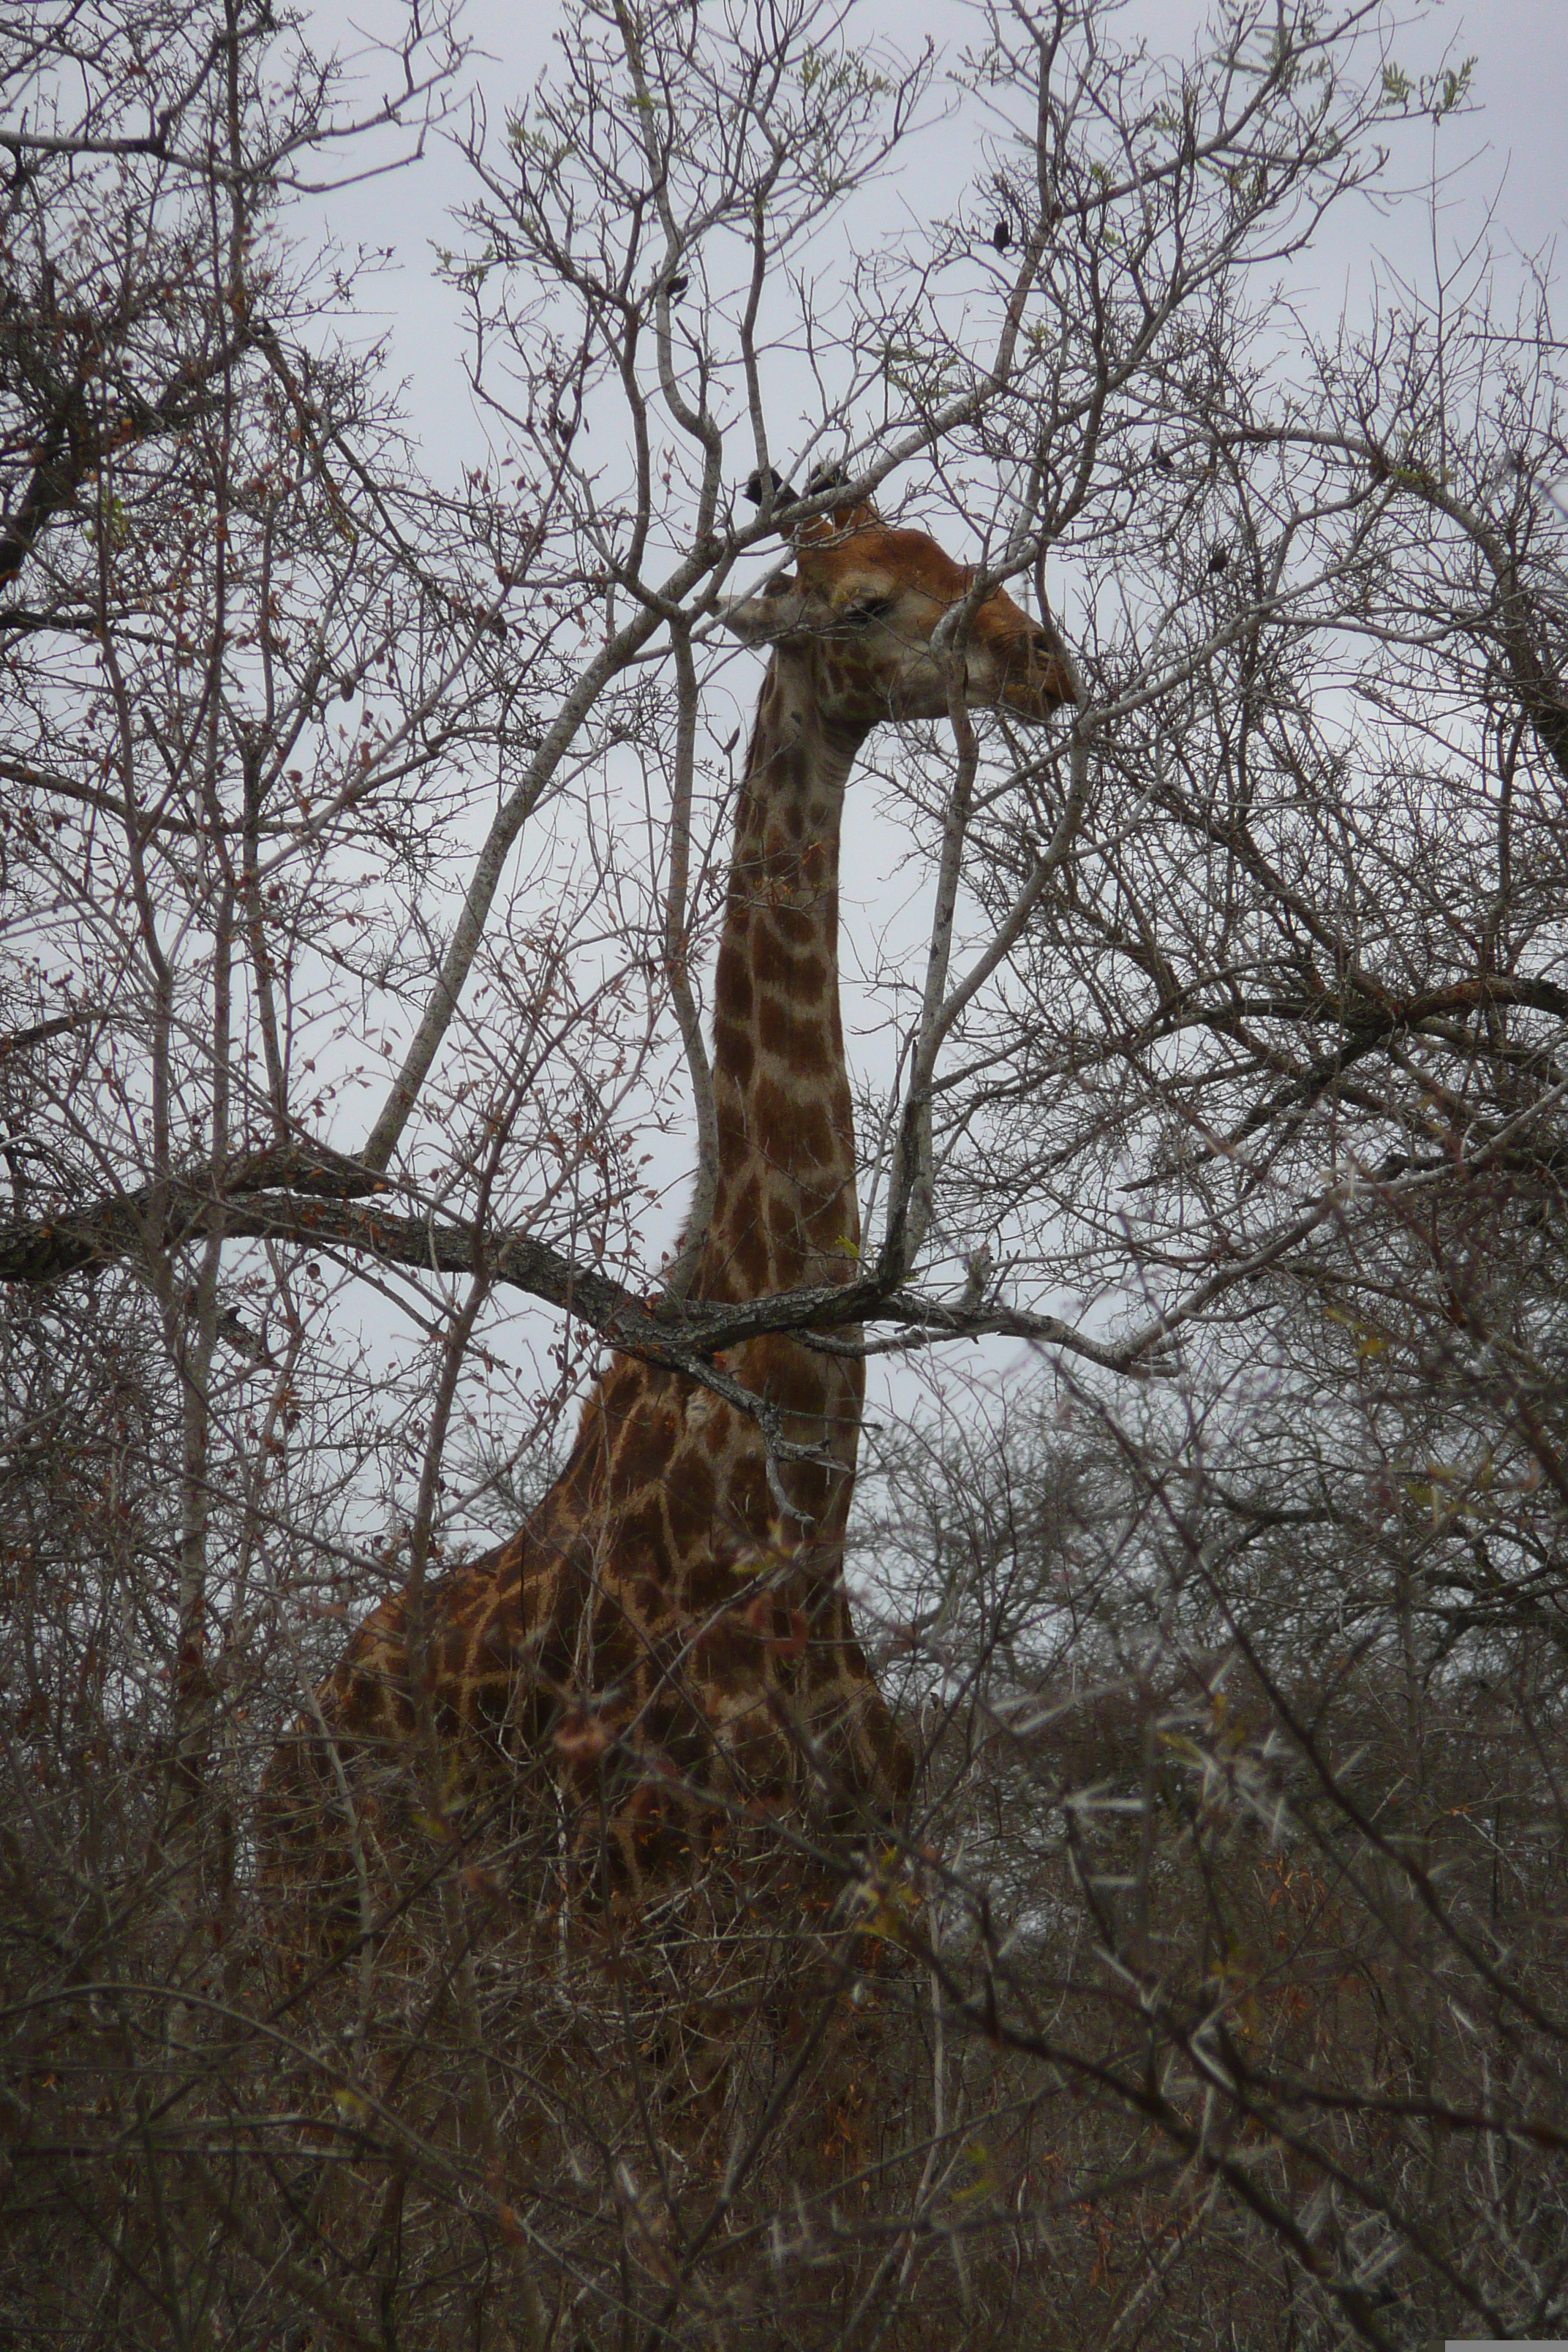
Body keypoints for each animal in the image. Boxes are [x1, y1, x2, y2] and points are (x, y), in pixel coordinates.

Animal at [266, 477, 1081, 1929]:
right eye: (864, 601)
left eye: (950, 550)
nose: (1043, 661)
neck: (796, 1543)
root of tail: (287, 1743)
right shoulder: (655, 1907)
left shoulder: (860, 1915)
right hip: (308, 1923)